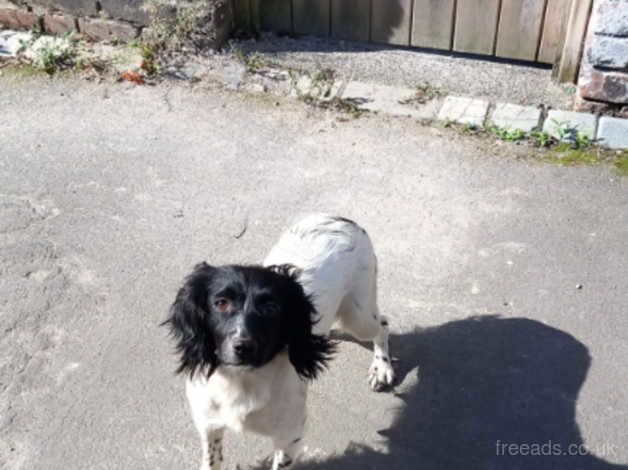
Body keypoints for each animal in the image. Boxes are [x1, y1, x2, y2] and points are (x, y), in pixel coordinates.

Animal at [167, 215, 392, 470]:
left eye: (271, 307)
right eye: (221, 303)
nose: (243, 347)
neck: (242, 380)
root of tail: (341, 218)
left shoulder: (290, 436)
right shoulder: (208, 424)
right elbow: (211, 459)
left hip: (359, 317)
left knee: (383, 324)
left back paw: (382, 369)